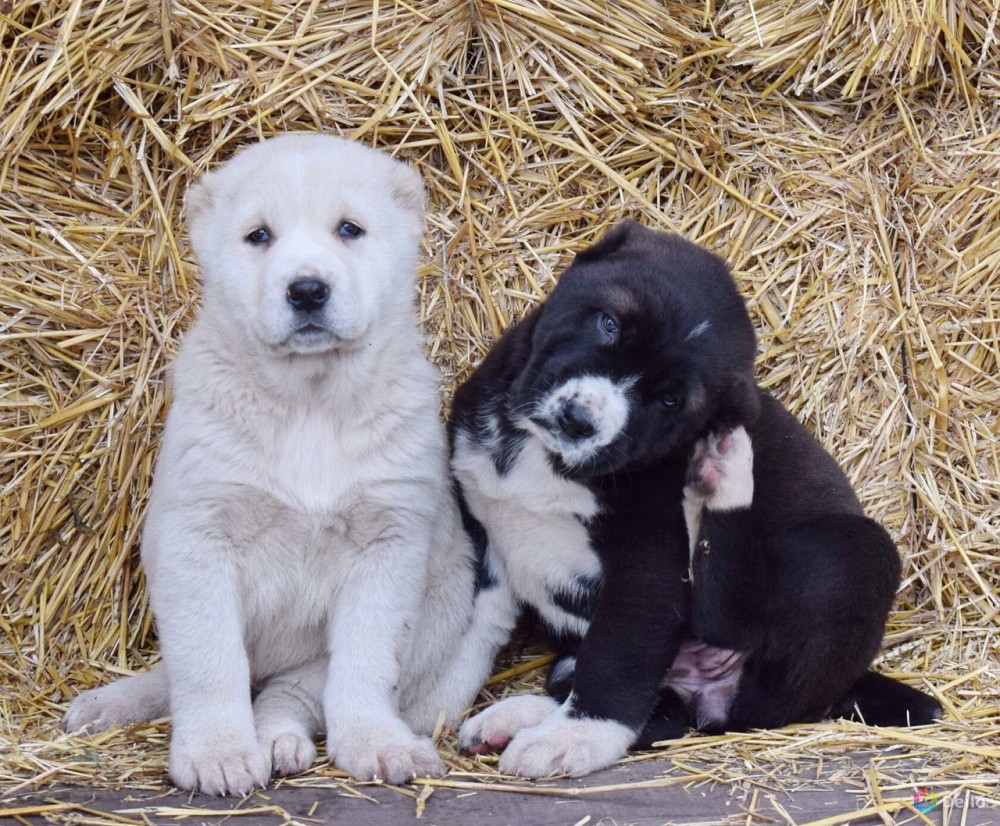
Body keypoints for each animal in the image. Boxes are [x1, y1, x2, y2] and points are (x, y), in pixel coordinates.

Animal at [64, 134, 508, 792]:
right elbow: (208, 660)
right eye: (259, 235)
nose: (306, 290)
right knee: (185, 671)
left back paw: (281, 740)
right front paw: (217, 755)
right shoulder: (197, 533)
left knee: (291, 693)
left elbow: (366, 660)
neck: (309, 403)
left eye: (349, 228)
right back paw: (106, 704)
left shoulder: (388, 540)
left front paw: (377, 746)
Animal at [450, 219, 940, 772]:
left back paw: (730, 471)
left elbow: (618, 659)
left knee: (736, 682)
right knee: (660, 708)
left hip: (852, 554)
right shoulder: (481, 531)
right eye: (609, 324)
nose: (578, 420)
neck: (544, 457)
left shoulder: (649, 566)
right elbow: (470, 628)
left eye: (669, 401)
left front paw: (573, 739)